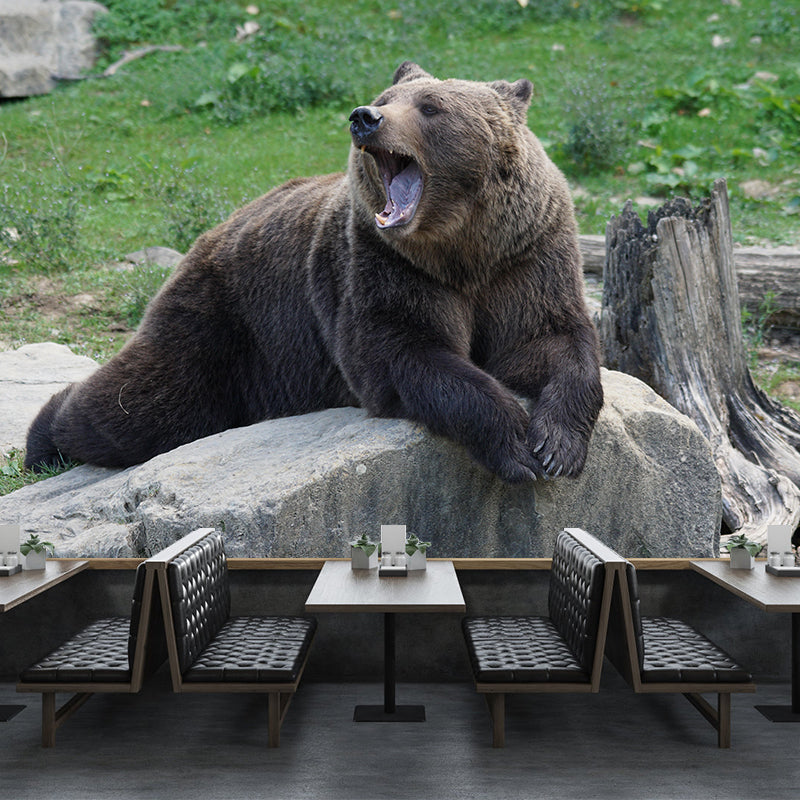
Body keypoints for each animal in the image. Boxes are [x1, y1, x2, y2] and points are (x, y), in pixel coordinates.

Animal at [25, 61, 603, 484]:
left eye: (431, 106)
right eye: (387, 97)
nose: (365, 117)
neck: (459, 248)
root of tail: (212, 232)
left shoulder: (526, 256)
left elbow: (551, 340)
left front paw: (557, 446)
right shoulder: (383, 266)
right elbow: (406, 353)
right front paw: (515, 445)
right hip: (227, 323)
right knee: (145, 406)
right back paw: (43, 439)